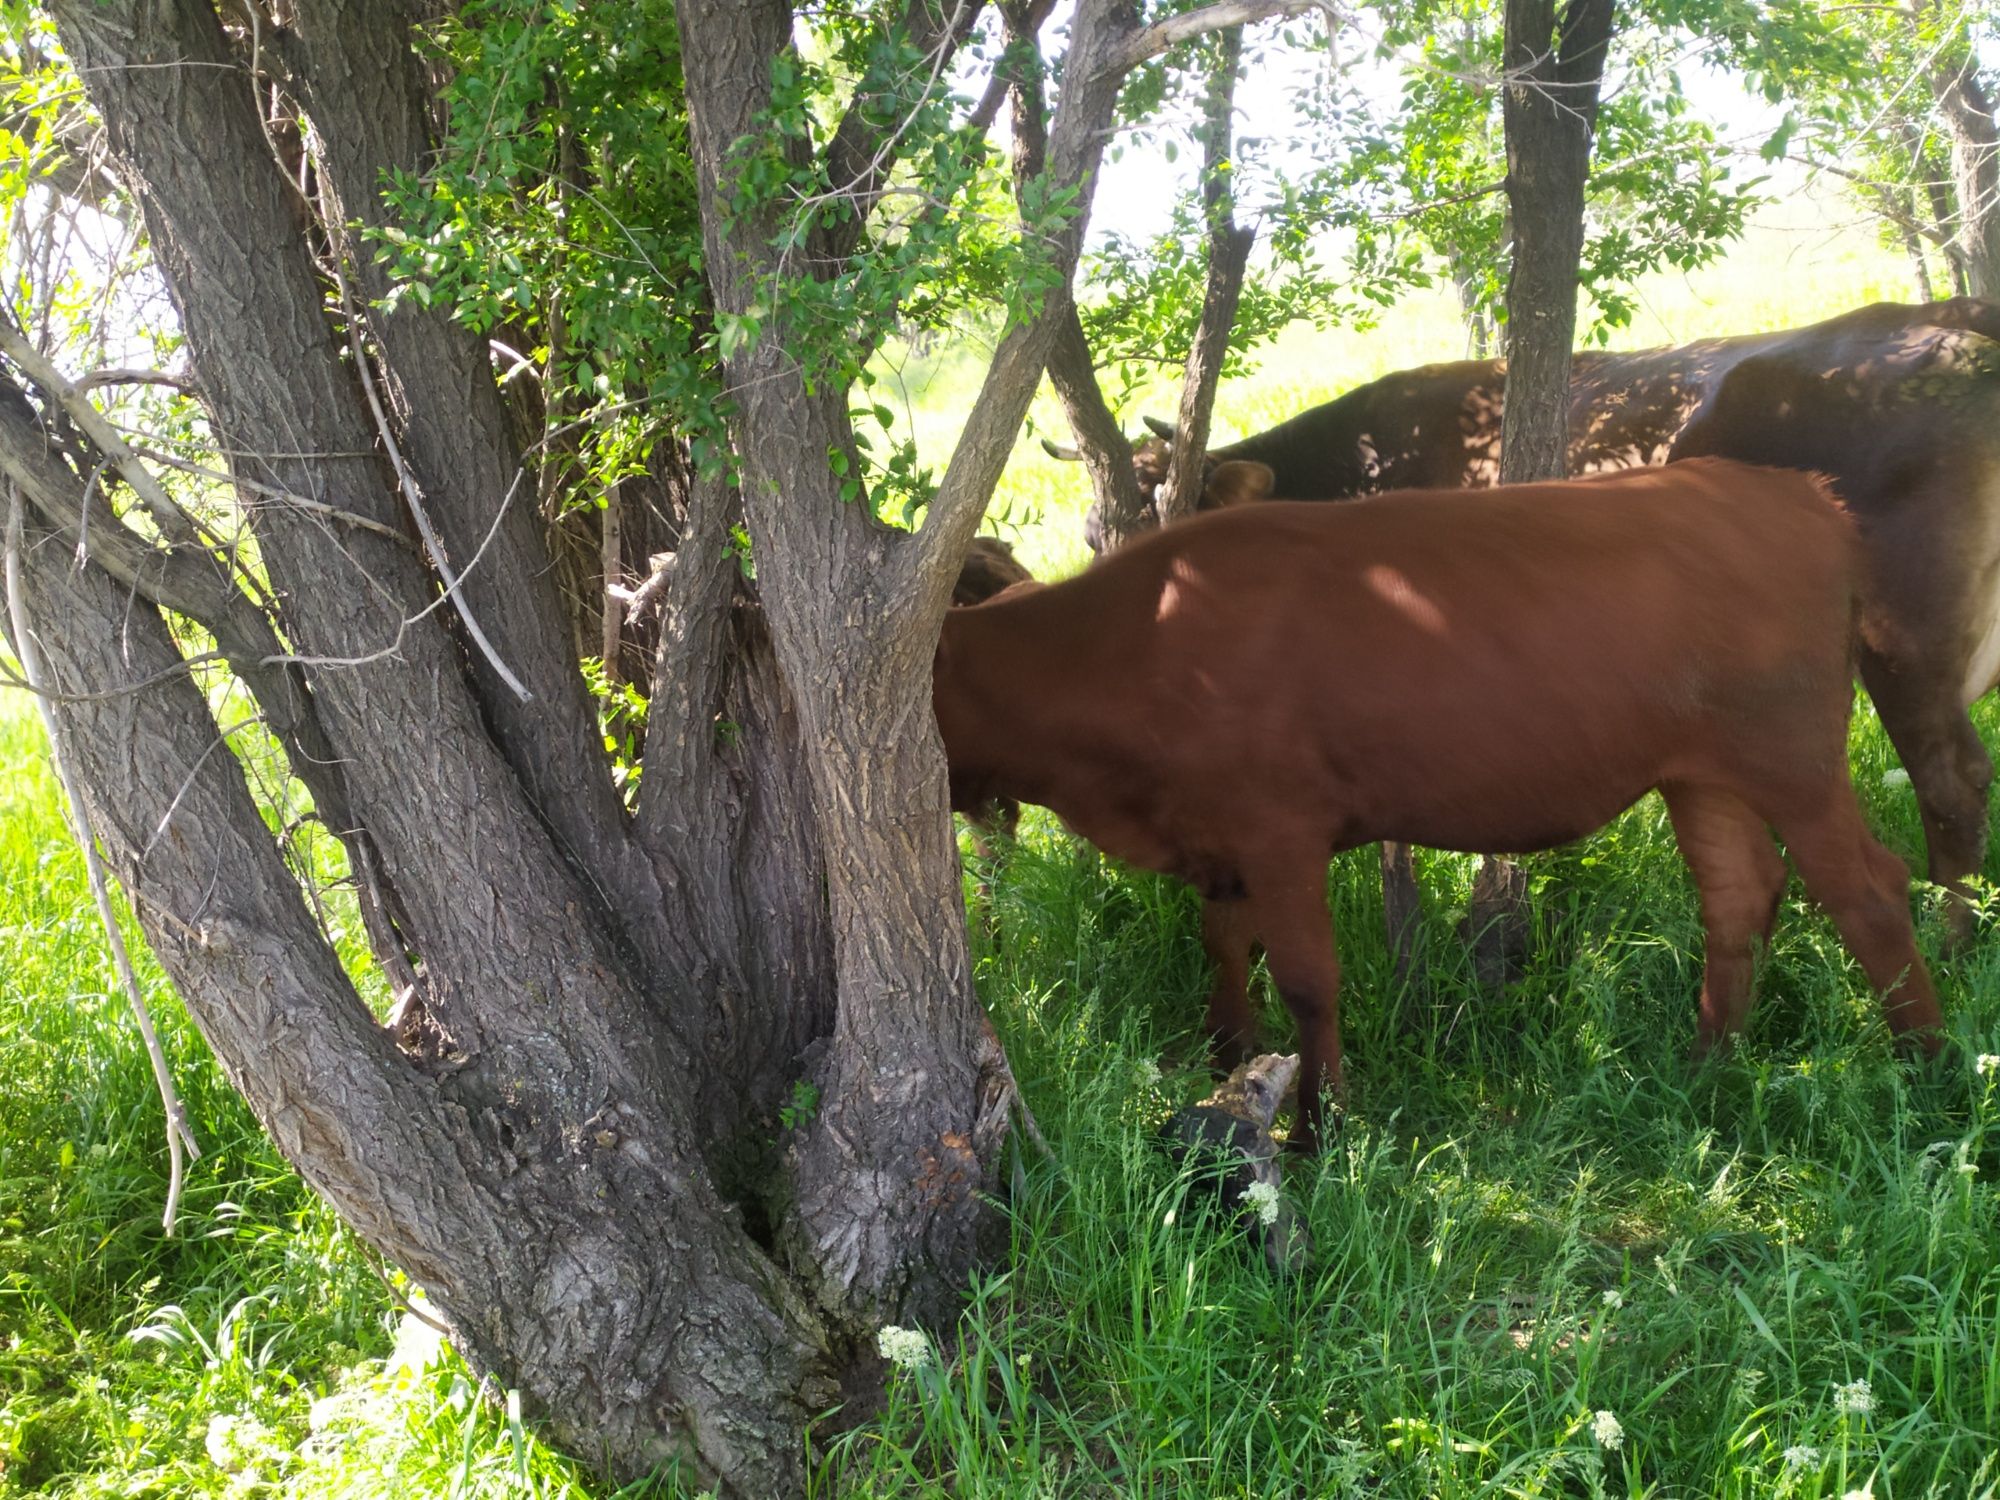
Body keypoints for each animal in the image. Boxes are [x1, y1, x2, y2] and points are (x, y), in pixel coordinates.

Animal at [944, 458, 1944, 1152]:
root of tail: (1794, 491)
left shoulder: (1279, 830)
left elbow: (1308, 980)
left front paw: (1319, 1132)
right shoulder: (1219, 841)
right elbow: (1226, 948)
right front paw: (1230, 1070)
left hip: (1793, 757)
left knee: (1870, 892)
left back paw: (1927, 1078)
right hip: (1703, 773)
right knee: (1739, 896)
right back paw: (1704, 1072)